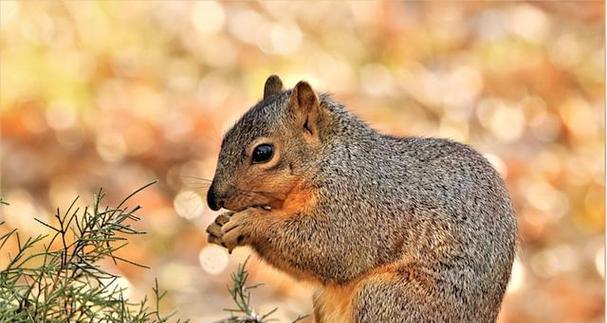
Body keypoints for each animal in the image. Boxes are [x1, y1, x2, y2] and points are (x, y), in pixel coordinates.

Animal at [205, 75, 516, 323]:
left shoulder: (355, 208)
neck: (331, 160)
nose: (213, 199)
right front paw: (220, 226)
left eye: (263, 152)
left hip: (387, 299)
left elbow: (329, 248)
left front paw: (249, 223)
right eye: (226, 137)